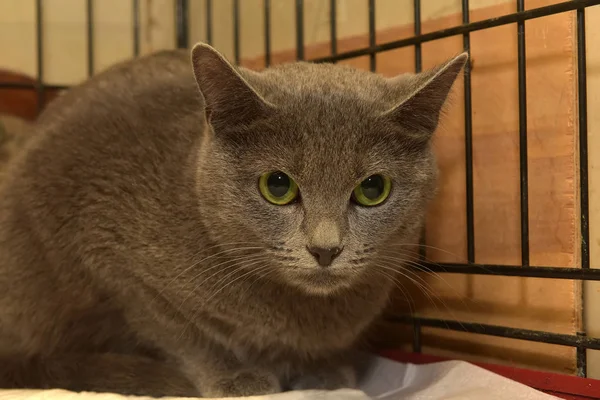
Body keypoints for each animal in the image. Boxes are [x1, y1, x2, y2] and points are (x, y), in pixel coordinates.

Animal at [0, 44, 466, 396]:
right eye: (277, 186)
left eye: (373, 189)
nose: (325, 248)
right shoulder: (115, 261)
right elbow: (183, 335)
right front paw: (235, 376)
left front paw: (325, 370)